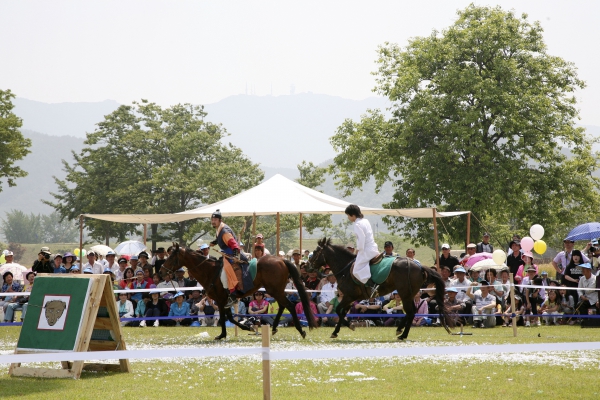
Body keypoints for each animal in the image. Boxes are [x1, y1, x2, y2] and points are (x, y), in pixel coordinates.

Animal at [162, 244, 316, 340]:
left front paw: (225, 334)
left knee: (289, 305)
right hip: (276, 290)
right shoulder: (225, 301)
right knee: (284, 305)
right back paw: (274, 328)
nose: (161, 271)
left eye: (171, 257)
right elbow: (230, 318)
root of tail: (281, 261)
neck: (210, 271)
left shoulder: (220, 300)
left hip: (275, 290)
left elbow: (225, 318)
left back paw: (300, 331)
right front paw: (243, 329)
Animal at [308, 238, 452, 340]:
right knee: (412, 311)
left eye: (315, 252)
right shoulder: (350, 298)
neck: (346, 269)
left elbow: (338, 310)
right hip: (409, 294)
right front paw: (335, 332)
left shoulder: (349, 296)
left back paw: (402, 335)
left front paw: (350, 326)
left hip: (404, 294)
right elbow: (342, 313)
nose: (308, 266)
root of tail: (420, 266)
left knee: (410, 312)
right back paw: (400, 330)